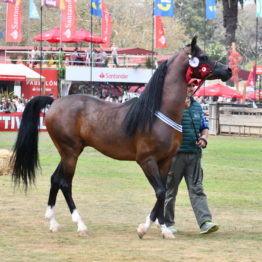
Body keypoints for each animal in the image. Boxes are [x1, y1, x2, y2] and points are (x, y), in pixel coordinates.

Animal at [10, 36, 231, 239]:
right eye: (204, 57)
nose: (228, 70)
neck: (158, 113)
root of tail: (55, 102)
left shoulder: (166, 161)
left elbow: (163, 193)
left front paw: (165, 229)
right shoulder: (146, 161)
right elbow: (160, 192)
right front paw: (143, 228)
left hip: (69, 152)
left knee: (55, 179)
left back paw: (53, 223)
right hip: (70, 153)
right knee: (65, 183)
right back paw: (80, 225)